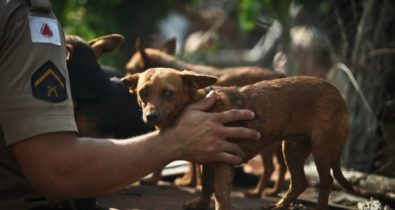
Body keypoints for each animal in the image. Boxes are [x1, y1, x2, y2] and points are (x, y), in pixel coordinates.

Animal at [123, 67, 356, 210]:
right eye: (143, 92)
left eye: (168, 93)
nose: (150, 116)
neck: (194, 105)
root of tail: (338, 95)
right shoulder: (207, 164)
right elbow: (206, 188)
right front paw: (199, 205)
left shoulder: (223, 165)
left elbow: (220, 195)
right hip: (291, 149)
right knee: (299, 182)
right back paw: (279, 205)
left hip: (321, 151)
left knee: (326, 182)